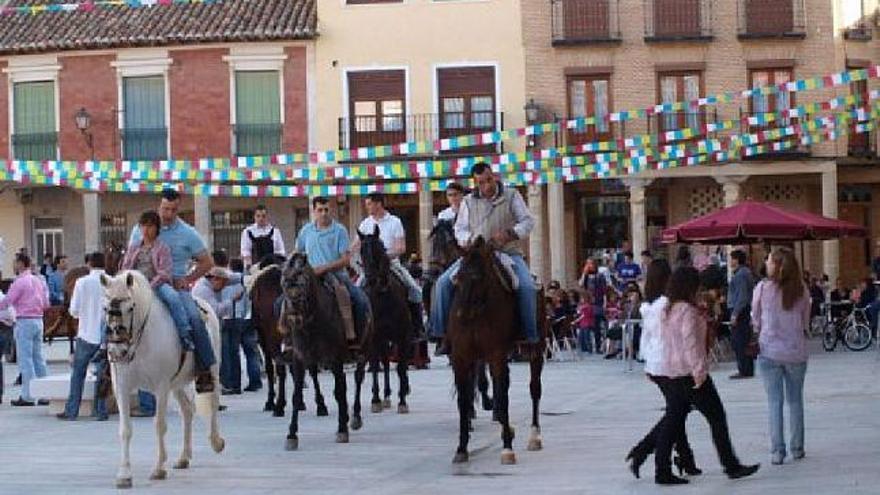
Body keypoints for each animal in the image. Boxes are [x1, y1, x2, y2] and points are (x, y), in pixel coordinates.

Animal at [100, 274, 225, 490]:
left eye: (130, 307)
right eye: (105, 308)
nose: (117, 350)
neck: (141, 341)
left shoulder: (161, 386)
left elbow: (159, 424)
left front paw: (158, 468)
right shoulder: (122, 387)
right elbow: (125, 430)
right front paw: (124, 474)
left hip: (213, 370)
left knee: (213, 402)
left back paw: (216, 442)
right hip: (177, 384)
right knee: (187, 411)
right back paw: (184, 457)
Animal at [280, 254, 366, 452]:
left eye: (303, 281)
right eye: (284, 281)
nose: (293, 314)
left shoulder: (335, 358)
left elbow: (340, 392)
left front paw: (342, 430)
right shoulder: (299, 358)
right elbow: (296, 395)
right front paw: (291, 435)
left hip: (364, 351)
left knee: (357, 379)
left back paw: (355, 417)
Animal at [358, 227, 412, 416]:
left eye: (377, 249)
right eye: (361, 251)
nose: (370, 279)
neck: (382, 295)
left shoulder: (402, 336)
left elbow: (401, 367)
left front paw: (402, 401)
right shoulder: (374, 338)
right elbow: (375, 366)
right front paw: (376, 400)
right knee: (386, 363)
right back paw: (386, 396)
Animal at [450, 238, 548, 466]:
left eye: (477, 278)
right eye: (458, 278)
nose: (461, 315)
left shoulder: (496, 354)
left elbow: (503, 397)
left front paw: (507, 449)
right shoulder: (460, 358)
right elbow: (463, 401)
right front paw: (461, 448)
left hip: (536, 348)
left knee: (534, 388)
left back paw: (534, 436)